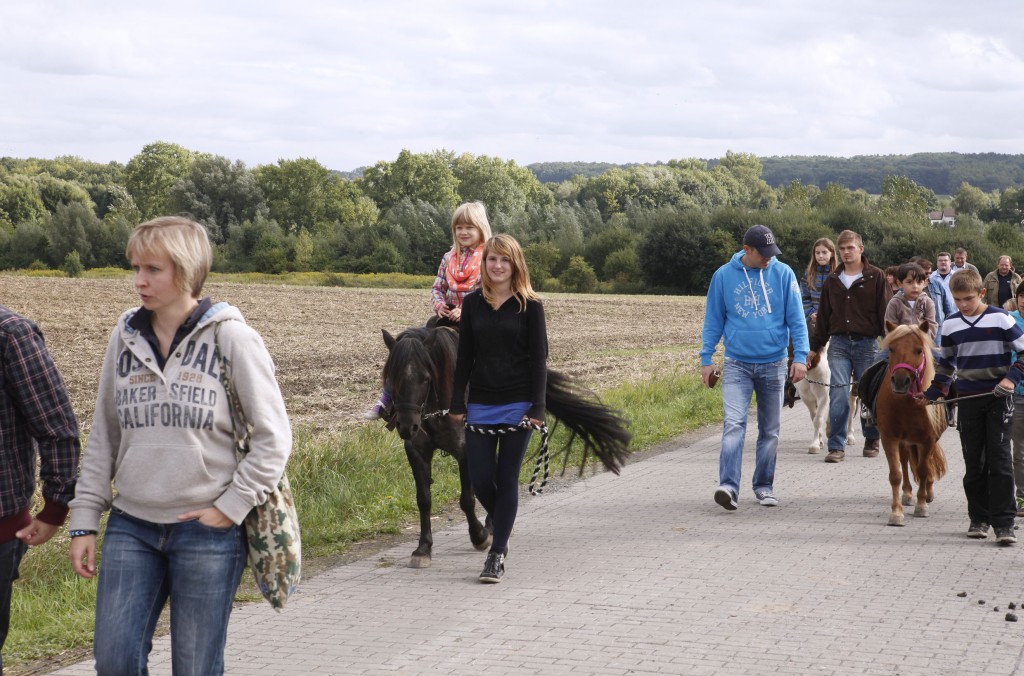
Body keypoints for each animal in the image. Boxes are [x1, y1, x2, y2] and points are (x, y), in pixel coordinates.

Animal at [380, 325, 632, 568]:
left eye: (425, 377)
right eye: (391, 377)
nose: (407, 426)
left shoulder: (465, 451)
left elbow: (467, 499)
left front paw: (480, 536)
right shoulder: (417, 452)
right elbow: (423, 499)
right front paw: (423, 548)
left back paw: (492, 527)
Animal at [873, 321, 948, 527]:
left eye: (919, 350)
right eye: (891, 348)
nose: (900, 381)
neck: (906, 402)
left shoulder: (928, 440)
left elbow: (923, 470)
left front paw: (921, 506)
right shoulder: (889, 438)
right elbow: (895, 474)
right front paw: (896, 513)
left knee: (925, 465)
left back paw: (927, 492)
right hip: (905, 441)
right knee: (905, 462)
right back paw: (907, 494)